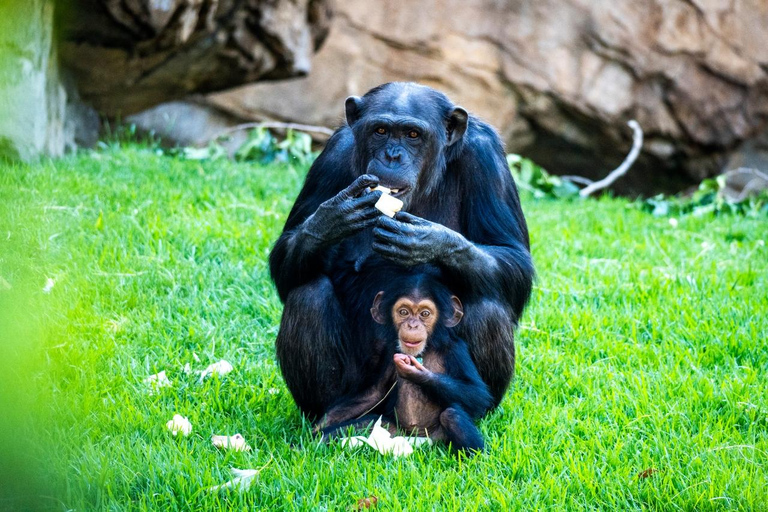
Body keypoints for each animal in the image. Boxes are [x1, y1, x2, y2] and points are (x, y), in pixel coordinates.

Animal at [270, 82, 536, 422]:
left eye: (412, 134)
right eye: (381, 130)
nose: (392, 155)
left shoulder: (486, 157)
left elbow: (513, 256)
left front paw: (429, 241)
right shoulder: (332, 156)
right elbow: (286, 259)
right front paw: (332, 218)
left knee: (487, 305)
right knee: (308, 296)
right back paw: (329, 415)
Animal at [316, 266, 492, 454]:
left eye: (425, 314)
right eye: (403, 312)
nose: (412, 325)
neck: (427, 348)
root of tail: (418, 441)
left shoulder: (457, 350)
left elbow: (476, 392)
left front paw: (417, 373)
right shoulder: (389, 353)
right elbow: (375, 391)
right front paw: (318, 426)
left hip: (437, 437)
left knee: (452, 416)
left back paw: (474, 456)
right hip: (392, 428)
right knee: (365, 422)